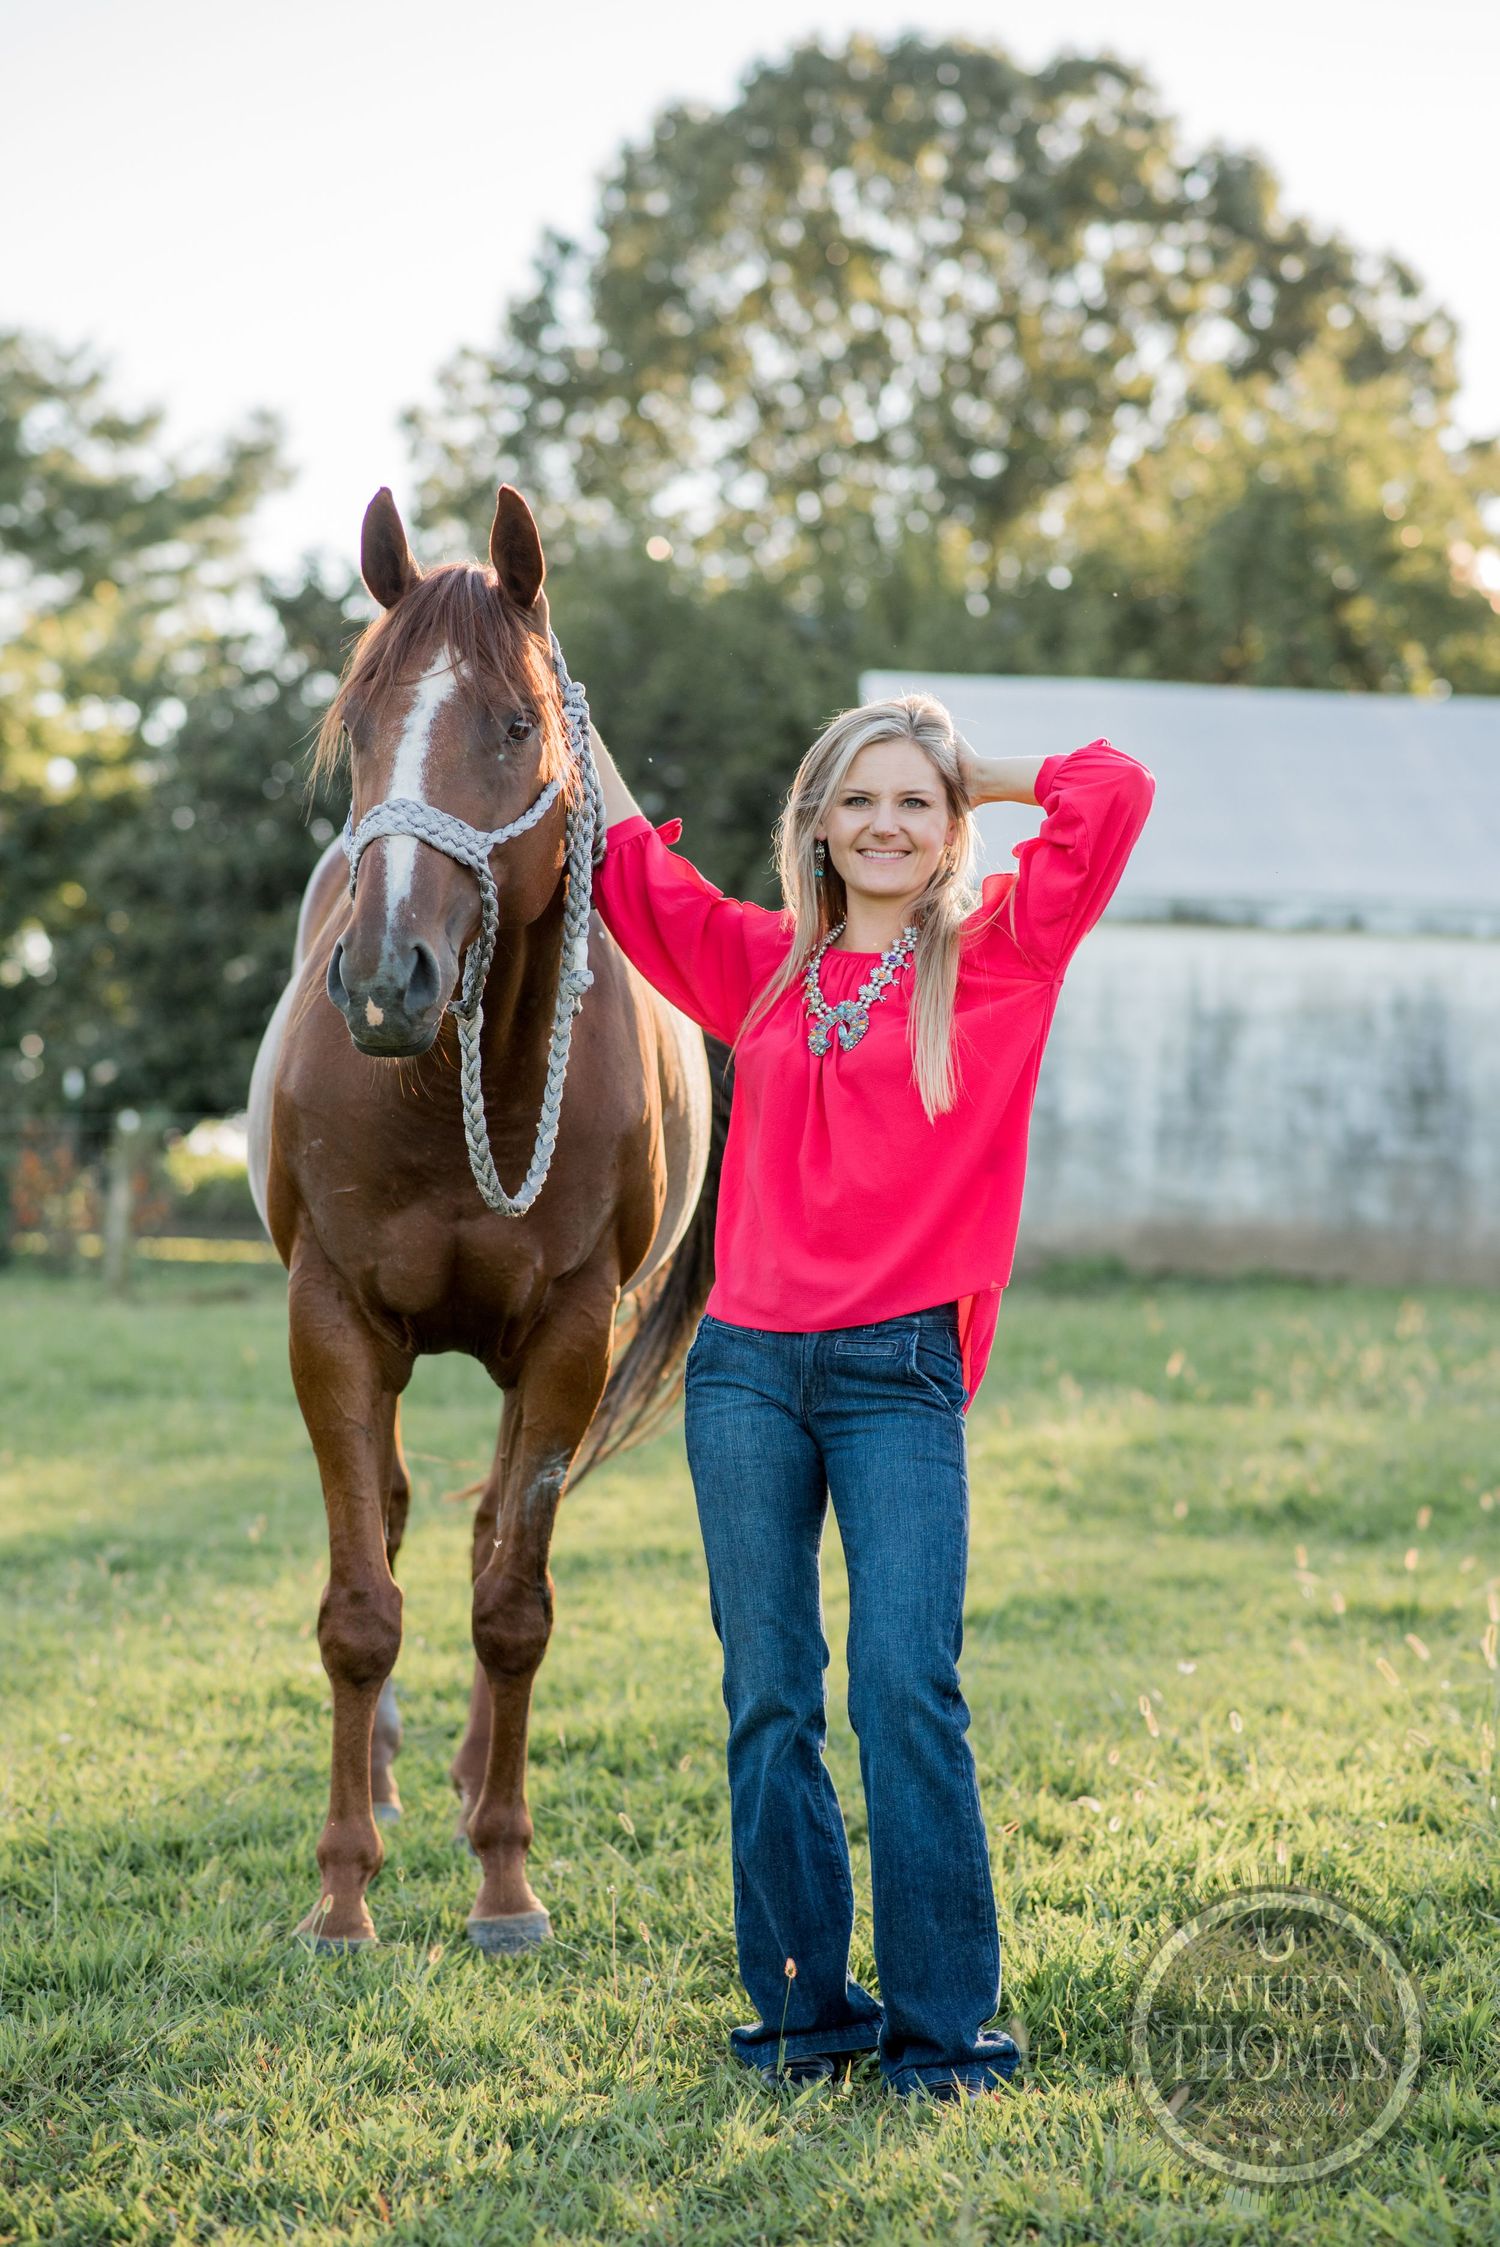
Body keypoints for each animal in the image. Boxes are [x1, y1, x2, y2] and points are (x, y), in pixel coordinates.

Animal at [247, 483, 729, 1953]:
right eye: (358, 725)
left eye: (516, 725)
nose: (384, 976)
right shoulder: (332, 1320)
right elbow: (360, 1607)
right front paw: (342, 1889)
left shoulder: (572, 1334)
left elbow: (513, 1608)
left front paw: (506, 1884)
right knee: (406, 1524)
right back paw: (396, 1774)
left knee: (479, 1546)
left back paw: (468, 1780)